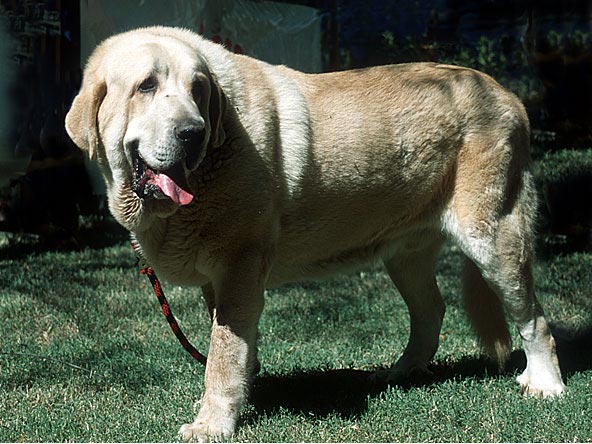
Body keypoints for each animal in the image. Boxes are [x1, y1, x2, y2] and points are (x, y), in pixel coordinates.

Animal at [65, 26, 564, 440]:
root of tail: (508, 96)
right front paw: (242, 394)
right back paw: (402, 372)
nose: (194, 132)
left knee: (534, 320)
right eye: (146, 86)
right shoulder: (220, 282)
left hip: (495, 242)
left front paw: (213, 423)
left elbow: (222, 354)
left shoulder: (240, 268)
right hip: (405, 255)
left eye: (198, 89)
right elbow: (235, 346)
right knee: (431, 311)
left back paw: (545, 384)